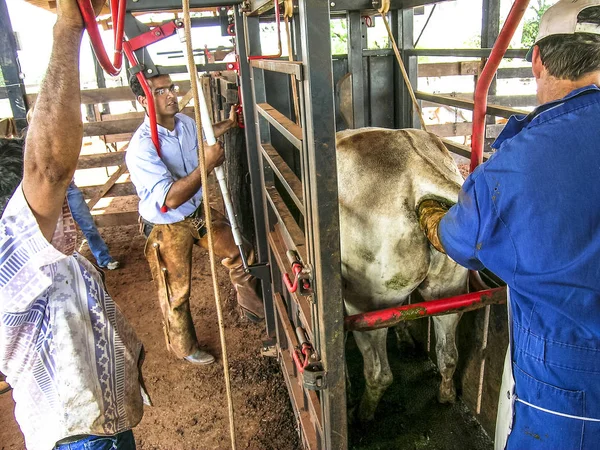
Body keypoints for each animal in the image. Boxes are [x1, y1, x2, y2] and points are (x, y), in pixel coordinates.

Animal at [338, 126, 468, 422]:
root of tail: (416, 164)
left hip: (366, 305)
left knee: (379, 374)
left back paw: (362, 414)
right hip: (450, 290)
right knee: (449, 355)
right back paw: (446, 395)